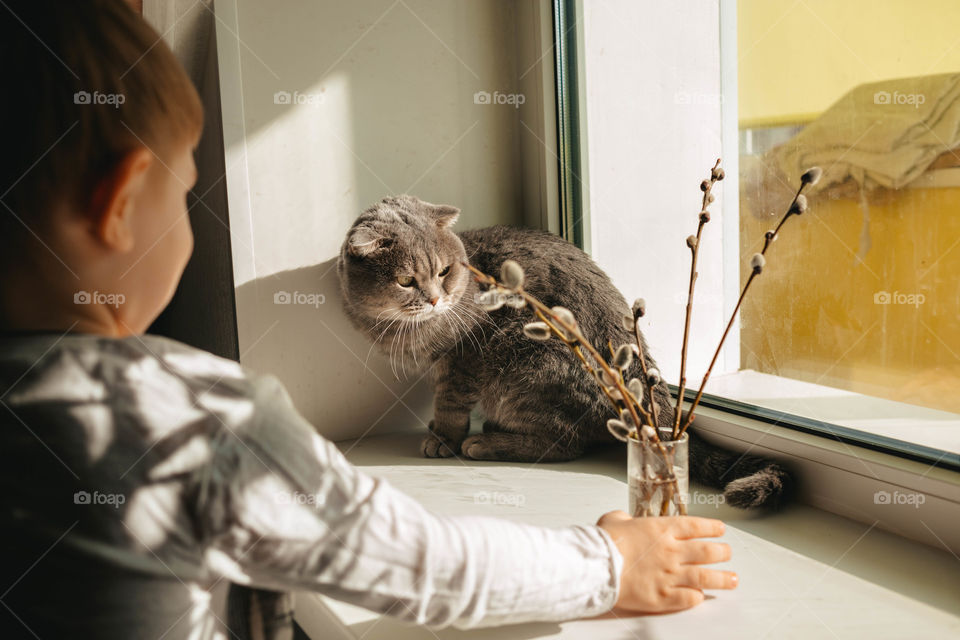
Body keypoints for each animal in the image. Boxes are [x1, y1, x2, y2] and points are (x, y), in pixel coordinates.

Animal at [342, 195, 792, 510]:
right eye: (405, 281)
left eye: (444, 271)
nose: (436, 299)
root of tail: (649, 399)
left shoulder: (465, 357)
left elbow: (451, 403)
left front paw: (445, 437)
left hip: (525, 360)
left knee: (567, 444)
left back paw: (486, 442)